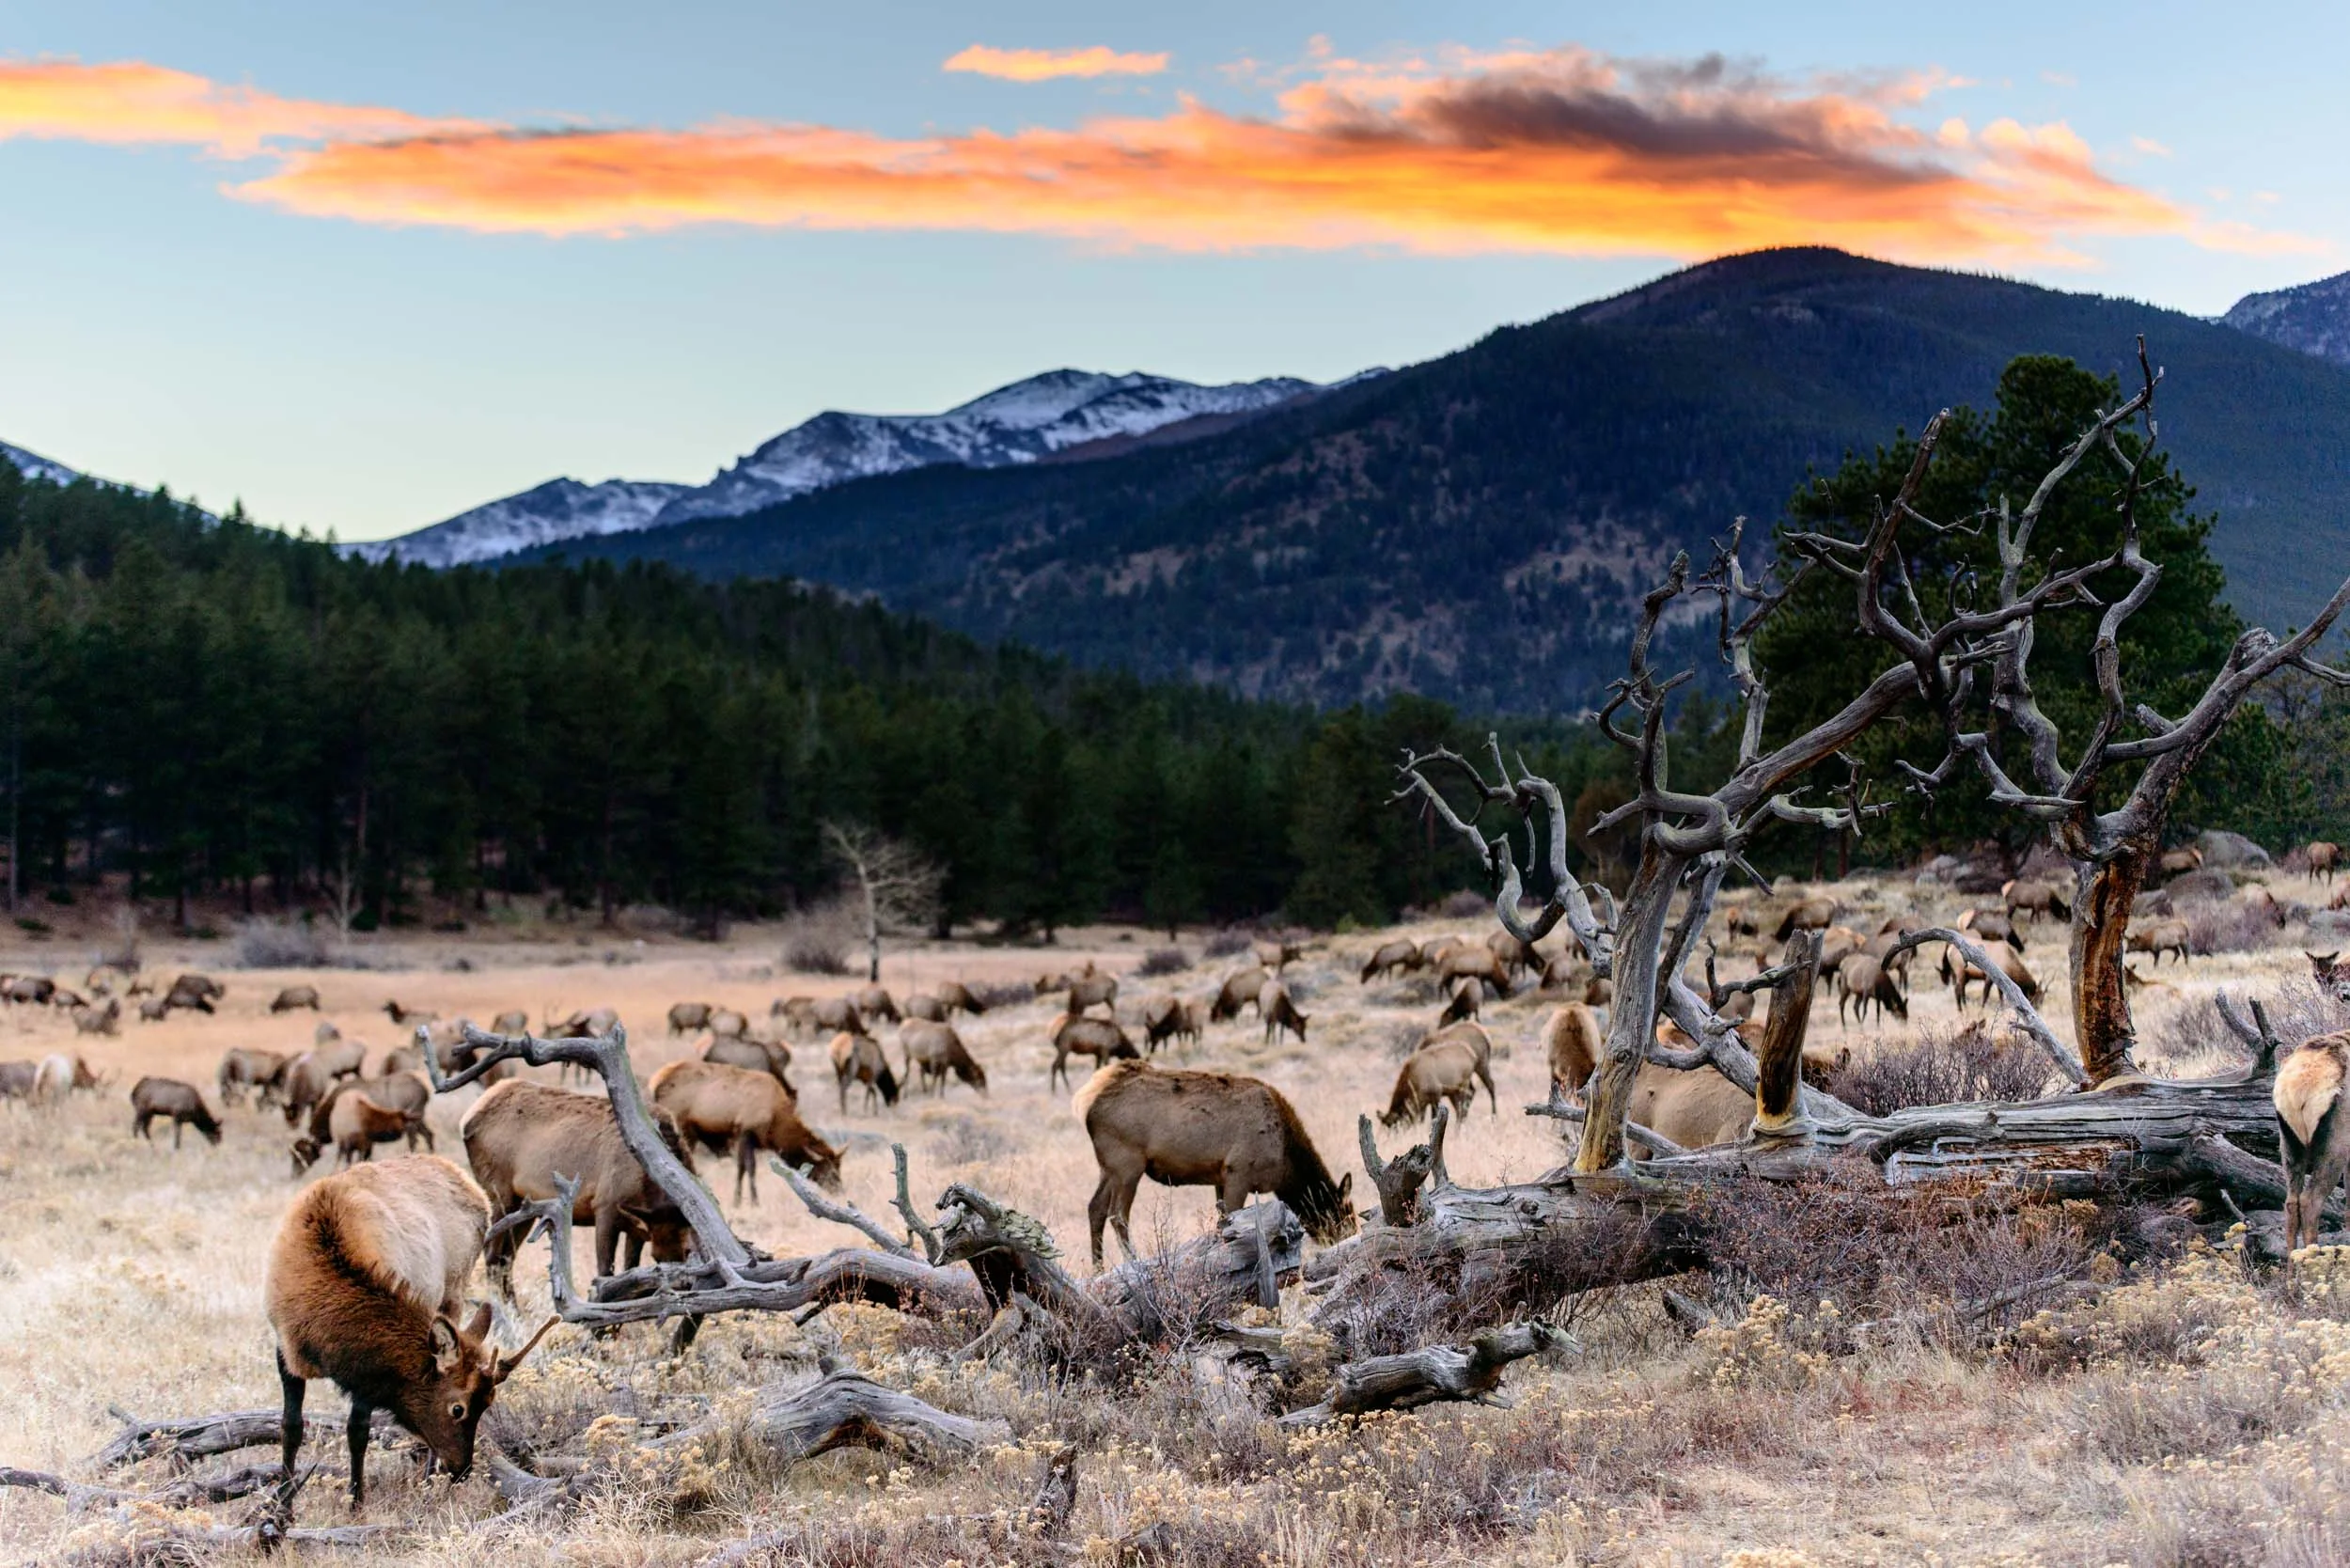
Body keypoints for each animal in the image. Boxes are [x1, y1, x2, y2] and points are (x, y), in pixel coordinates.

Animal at [265, 1155, 553, 1506]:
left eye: (487, 1405)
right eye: (458, 1408)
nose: (462, 1470)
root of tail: (467, 1182)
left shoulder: (367, 1371)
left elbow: (357, 1431)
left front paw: (356, 1503)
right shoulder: (286, 1347)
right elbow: (291, 1427)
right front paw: (282, 1505)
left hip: (454, 1289)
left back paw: (428, 1479)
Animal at [460, 1080, 695, 1295]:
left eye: (687, 1252)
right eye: (656, 1257)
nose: (681, 1288)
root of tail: (467, 1121)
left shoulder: (638, 1226)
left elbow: (631, 1269)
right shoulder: (605, 1206)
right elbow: (605, 1273)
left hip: (524, 1207)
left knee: (506, 1259)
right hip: (498, 1192)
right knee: (491, 1257)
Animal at [649, 1059, 842, 1201]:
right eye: (831, 1172)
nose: (840, 1191)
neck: (776, 1125)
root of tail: (656, 1081)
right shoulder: (745, 1131)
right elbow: (747, 1169)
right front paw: (747, 1201)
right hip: (682, 1125)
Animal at [1074, 1059, 1355, 1268]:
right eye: (1343, 1214)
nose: (1350, 1237)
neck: (1286, 1165)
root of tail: (1087, 1102)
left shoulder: (1220, 1176)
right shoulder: (1238, 1173)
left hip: (1108, 1168)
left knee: (1095, 1208)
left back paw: (1098, 1269)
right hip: (1127, 1163)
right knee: (1118, 1216)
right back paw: (1134, 1263)